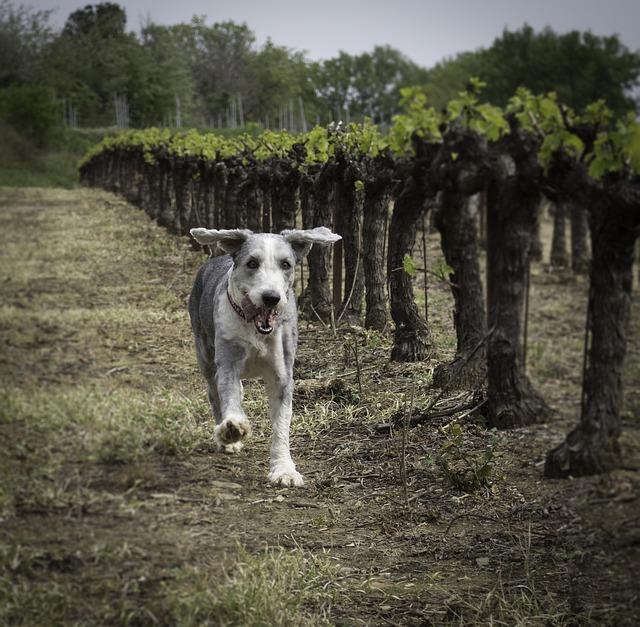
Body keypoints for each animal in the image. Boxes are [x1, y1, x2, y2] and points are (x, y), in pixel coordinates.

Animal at [189, 228, 342, 488]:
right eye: (252, 263)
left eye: (286, 264)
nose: (271, 297)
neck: (254, 328)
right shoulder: (228, 361)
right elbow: (228, 394)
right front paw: (232, 428)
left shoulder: (282, 372)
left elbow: (281, 424)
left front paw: (284, 470)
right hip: (205, 354)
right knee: (214, 392)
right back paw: (227, 438)